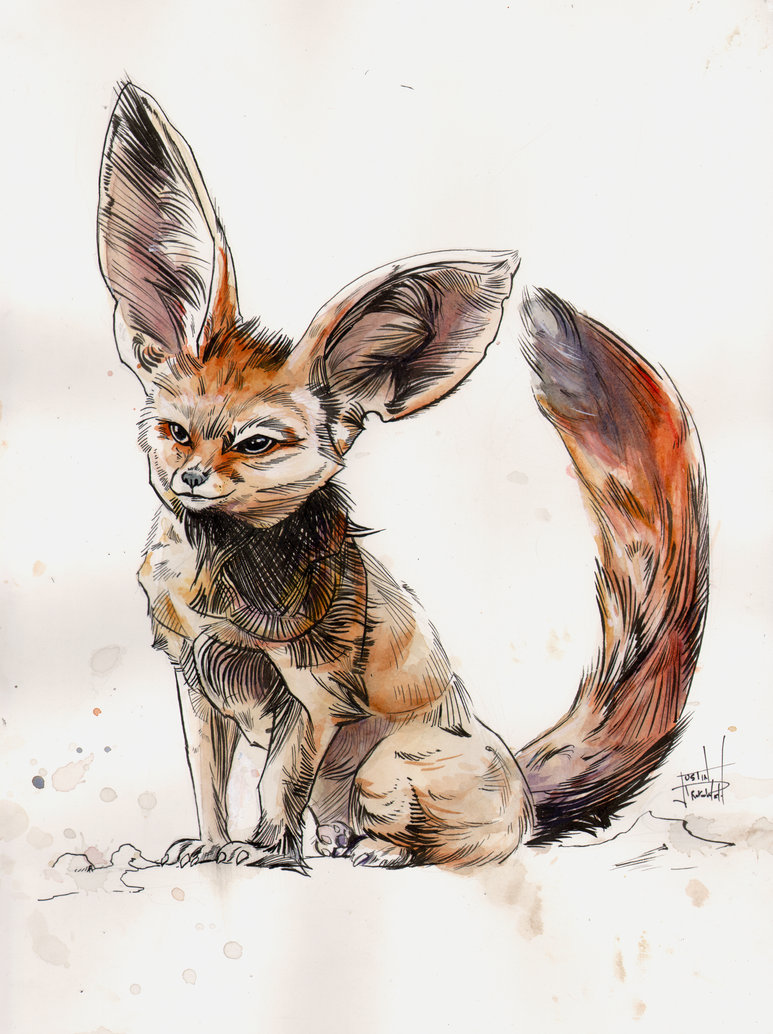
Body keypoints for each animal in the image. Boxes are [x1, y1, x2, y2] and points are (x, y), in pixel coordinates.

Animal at [97, 83, 709, 870]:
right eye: (176, 433)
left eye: (256, 444)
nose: (193, 480)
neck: (220, 579)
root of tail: (525, 791)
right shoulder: (196, 683)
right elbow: (209, 784)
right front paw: (211, 847)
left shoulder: (314, 700)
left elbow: (274, 786)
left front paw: (265, 851)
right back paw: (335, 843)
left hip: (384, 767)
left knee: (462, 847)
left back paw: (375, 852)